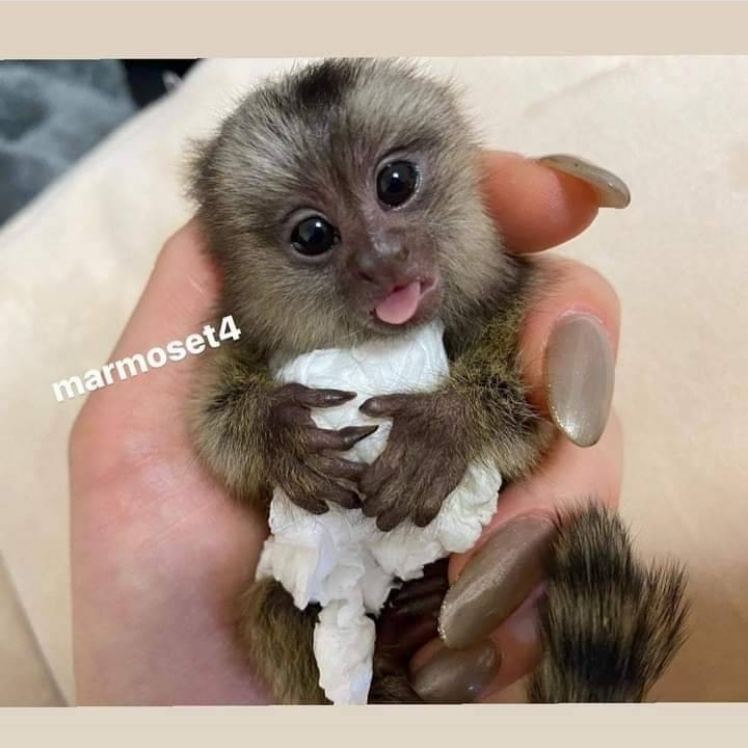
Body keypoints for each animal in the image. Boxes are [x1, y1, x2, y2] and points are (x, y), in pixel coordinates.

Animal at [186, 58, 688, 704]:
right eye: (313, 235)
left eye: (395, 183)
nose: (382, 256)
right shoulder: (233, 337)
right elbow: (213, 425)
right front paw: (280, 432)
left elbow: (527, 417)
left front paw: (441, 432)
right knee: (277, 607)